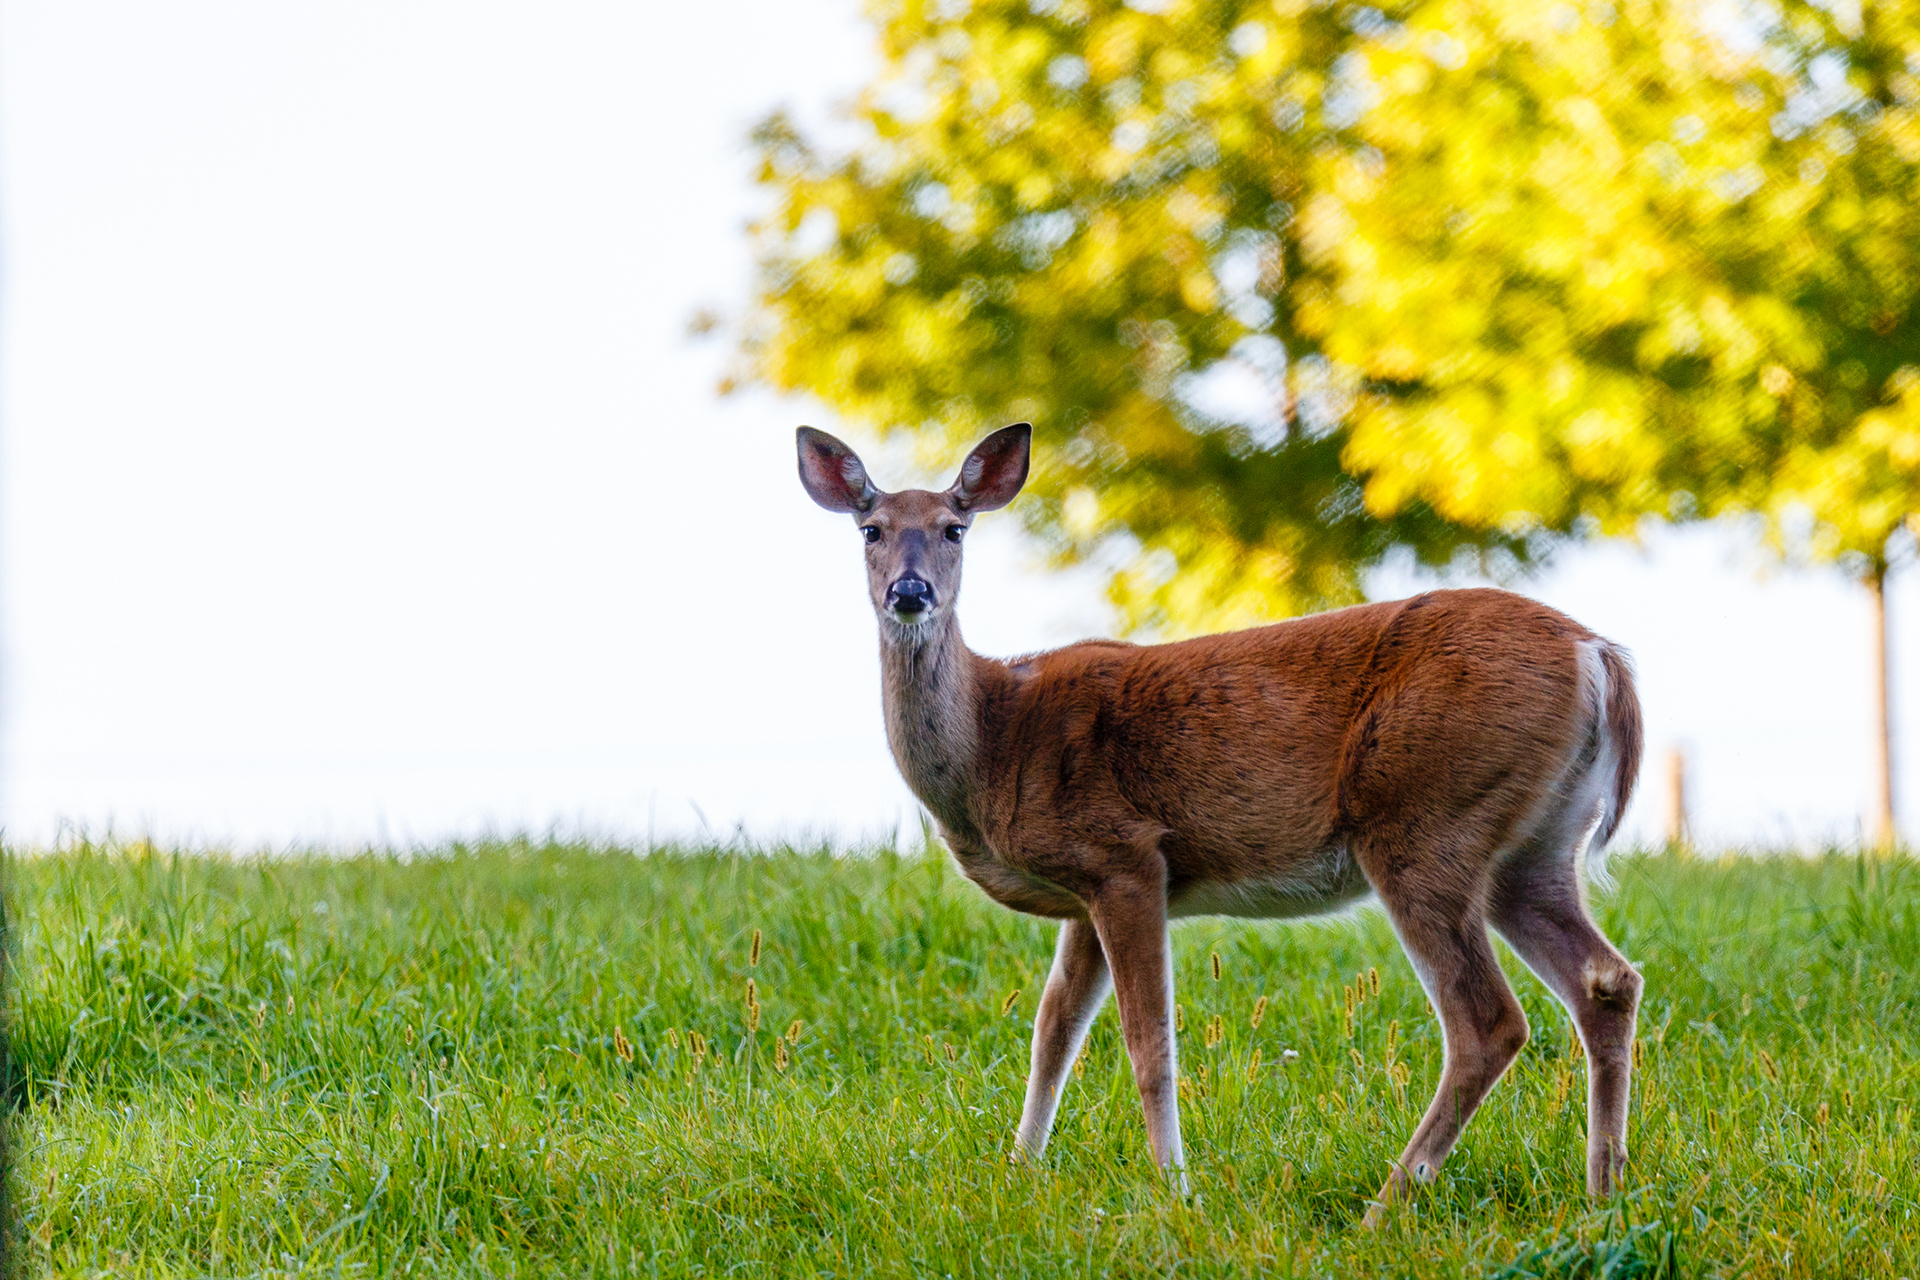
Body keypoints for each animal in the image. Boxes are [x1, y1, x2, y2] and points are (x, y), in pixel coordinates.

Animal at [794, 422, 1651, 1220]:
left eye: (953, 528)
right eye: (871, 529)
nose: (910, 591)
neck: (995, 737)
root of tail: (1600, 656)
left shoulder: (1125, 855)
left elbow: (1148, 1041)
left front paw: (1175, 1190)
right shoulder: (1082, 892)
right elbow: (1051, 1032)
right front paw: (1019, 1174)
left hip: (1425, 817)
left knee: (1489, 1020)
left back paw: (1384, 1206)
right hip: (1531, 845)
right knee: (1607, 980)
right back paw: (1602, 1194)